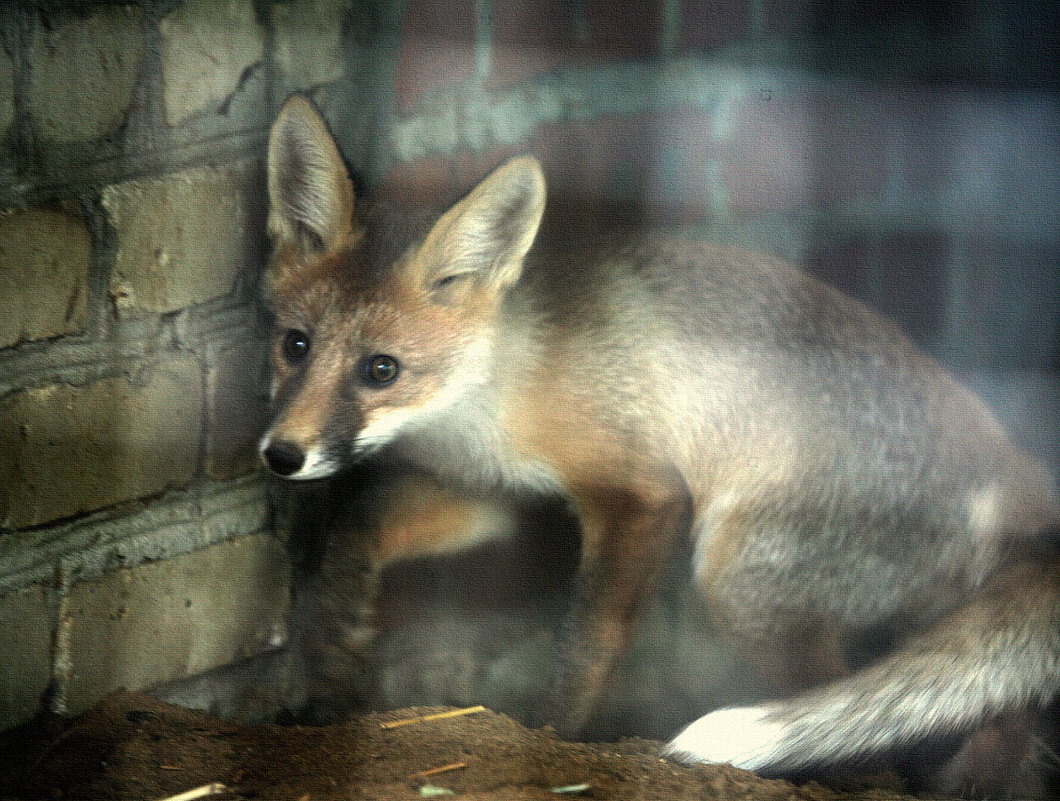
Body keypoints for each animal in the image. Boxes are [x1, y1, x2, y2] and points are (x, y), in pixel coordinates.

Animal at [258, 95, 1060, 796]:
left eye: (380, 369)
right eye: (295, 346)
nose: (281, 455)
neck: (497, 389)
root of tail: (1014, 478)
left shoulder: (640, 493)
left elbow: (587, 639)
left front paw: (555, 739)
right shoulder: (487, 492)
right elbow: (357, 532)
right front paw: (332, 650)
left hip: (738, 575)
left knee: (854, 705)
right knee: (993, 706)